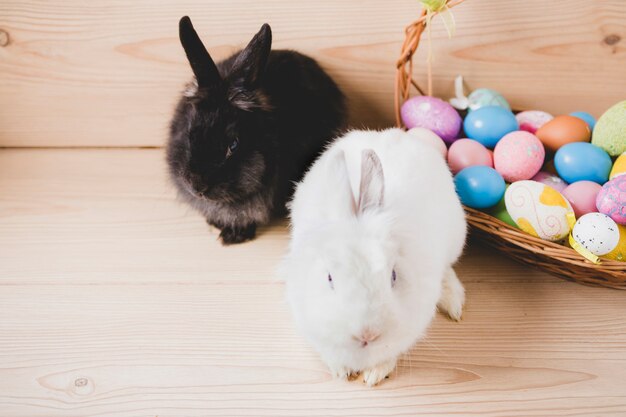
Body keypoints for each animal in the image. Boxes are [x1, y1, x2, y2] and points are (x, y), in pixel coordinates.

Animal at [280, 127, 466, 386]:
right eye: (329, 278)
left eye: (394, 276)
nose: (367, 334)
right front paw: (341, 371)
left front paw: (374, 374)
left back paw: (453, 304)